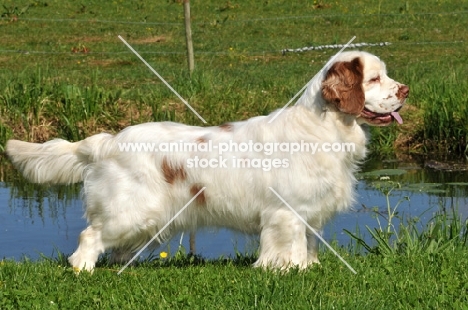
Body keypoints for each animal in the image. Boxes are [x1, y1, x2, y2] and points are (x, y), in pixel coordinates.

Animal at [5, 50, 408, 272]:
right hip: (130, 210)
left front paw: (309, 267)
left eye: (385, 76)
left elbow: (308, 242)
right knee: (90, 236)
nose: (405, 90)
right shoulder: (286, 211)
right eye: (374, 78)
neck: (326, 126)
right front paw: (288, 270)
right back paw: (83, 269)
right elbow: (288, 244)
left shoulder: (311, 210)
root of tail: (108, 141)